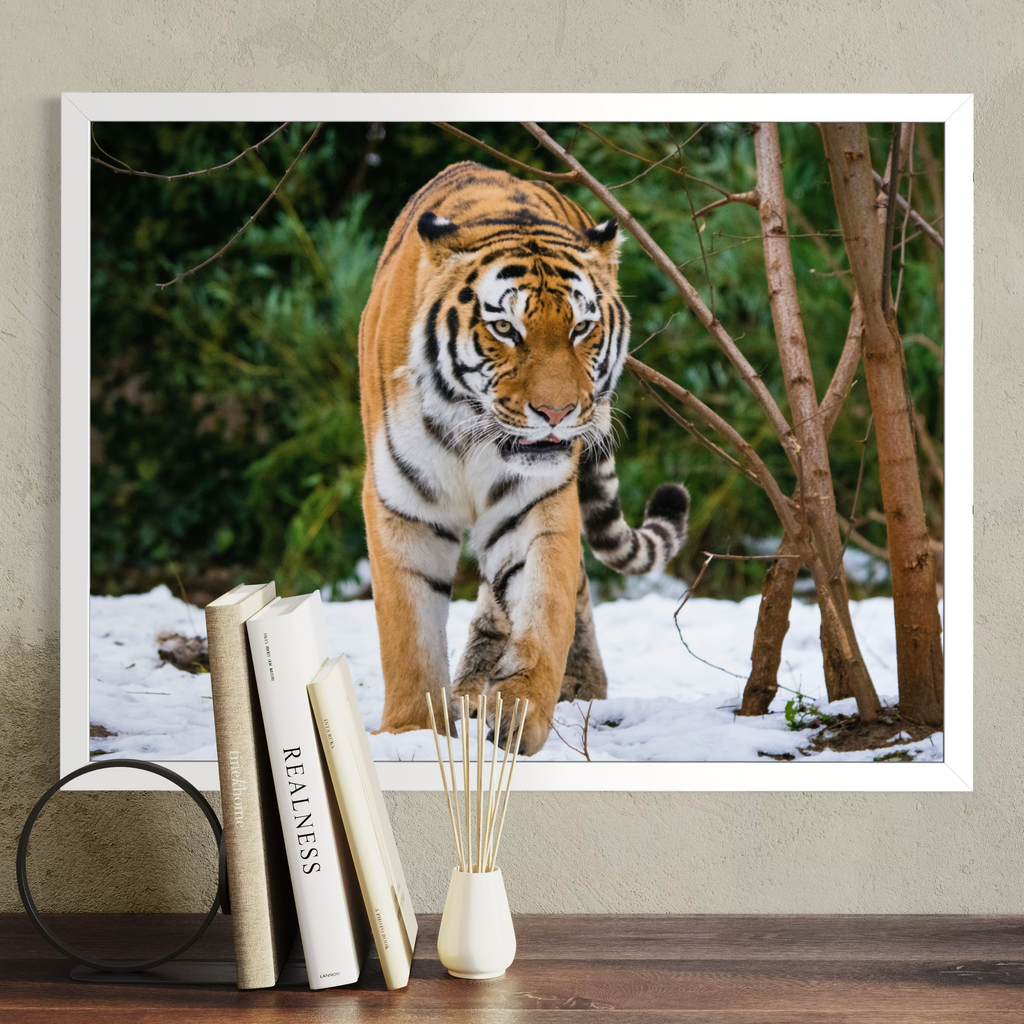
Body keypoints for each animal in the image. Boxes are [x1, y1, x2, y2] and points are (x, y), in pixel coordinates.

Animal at [358, 161, 689, 755]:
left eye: (581, 328)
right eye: (505, 329)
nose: (557, 413)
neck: (470, 433)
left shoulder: (535, 502)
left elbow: (544, 606)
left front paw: (519, 714)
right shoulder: (402, 507)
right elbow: (408, 634)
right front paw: (411, 734)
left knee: (559, 589)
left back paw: (569, 685)